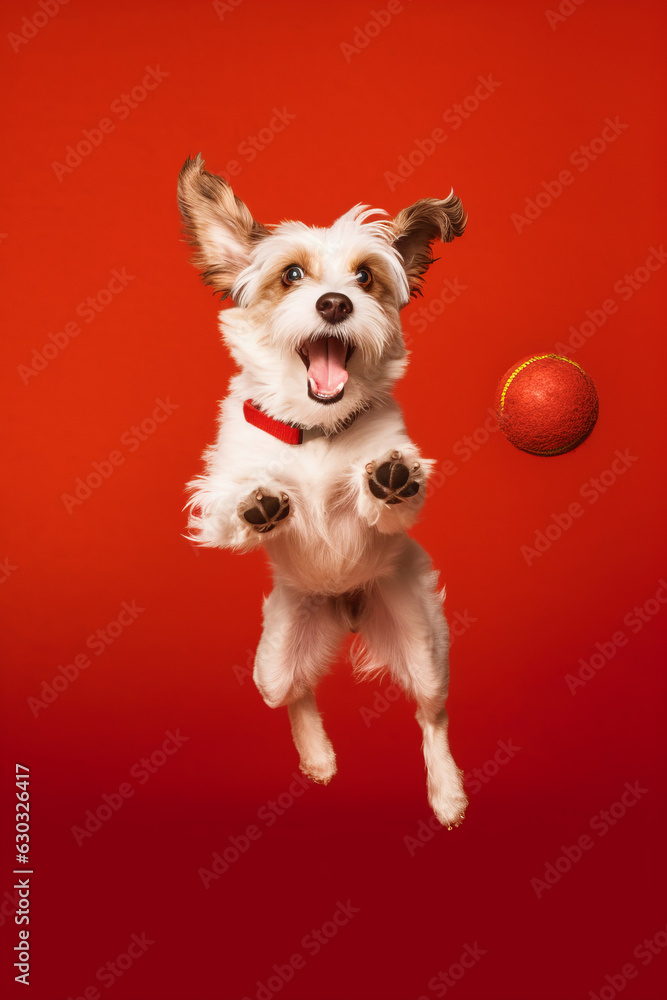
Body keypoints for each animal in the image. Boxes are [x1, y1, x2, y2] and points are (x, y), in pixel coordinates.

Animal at [179, 156, 470, 828]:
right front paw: (261, 501)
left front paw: (386, 476)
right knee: (296, 694)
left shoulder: (398, 496)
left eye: (366, 276)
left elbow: (390, 493)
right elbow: (229, 503)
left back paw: (447, 793)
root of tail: (346, 604)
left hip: (425, 645)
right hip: (272, 660)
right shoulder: (218, 489)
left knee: (431, 716)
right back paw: (317, 757)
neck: (314, 429)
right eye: (291, 275)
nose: (335, 303)